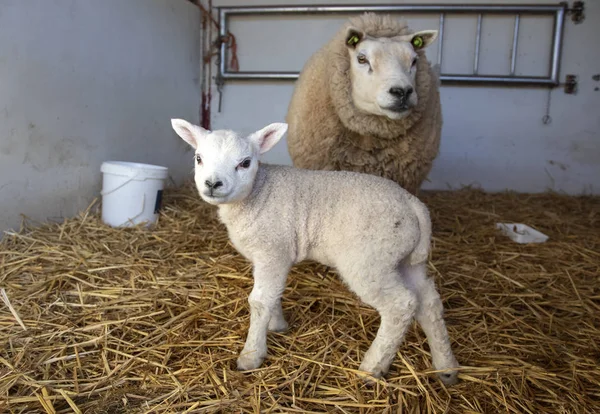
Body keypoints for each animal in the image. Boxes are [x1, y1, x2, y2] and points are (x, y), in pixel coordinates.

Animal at [171, 118, 462, 384]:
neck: (257, 193)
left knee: (401, 305)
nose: (213, 183)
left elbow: (259, 300)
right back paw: (446, 368)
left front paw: (251, 355)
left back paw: (372, 368)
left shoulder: (272, 250)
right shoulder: (274, 255)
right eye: (199, 158)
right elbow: (273, 294)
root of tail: (414, 205)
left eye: (245, 163)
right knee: (428, 302)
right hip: (405, 260)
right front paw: (277, 325)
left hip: (370, 260)